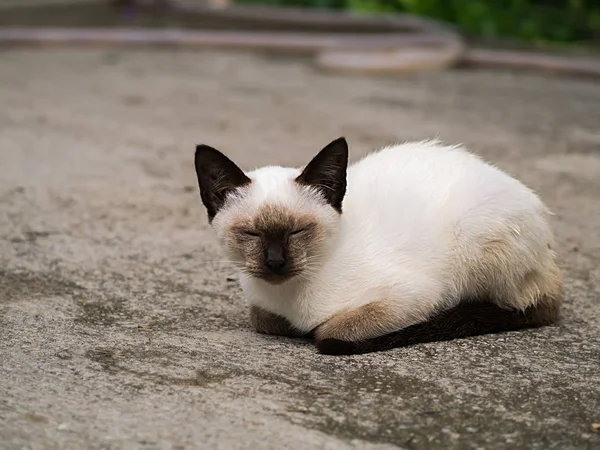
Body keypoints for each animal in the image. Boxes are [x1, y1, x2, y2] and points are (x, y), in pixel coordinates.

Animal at [192, 137, 564, 356]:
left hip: (475, 235)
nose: (275, 262)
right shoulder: (262, 308)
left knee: (527, 308)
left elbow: (329, 331)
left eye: (298, 231)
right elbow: (263, 318)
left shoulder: (414, 297)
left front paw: (316, 333)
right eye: (251, 234)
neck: (291, 299)